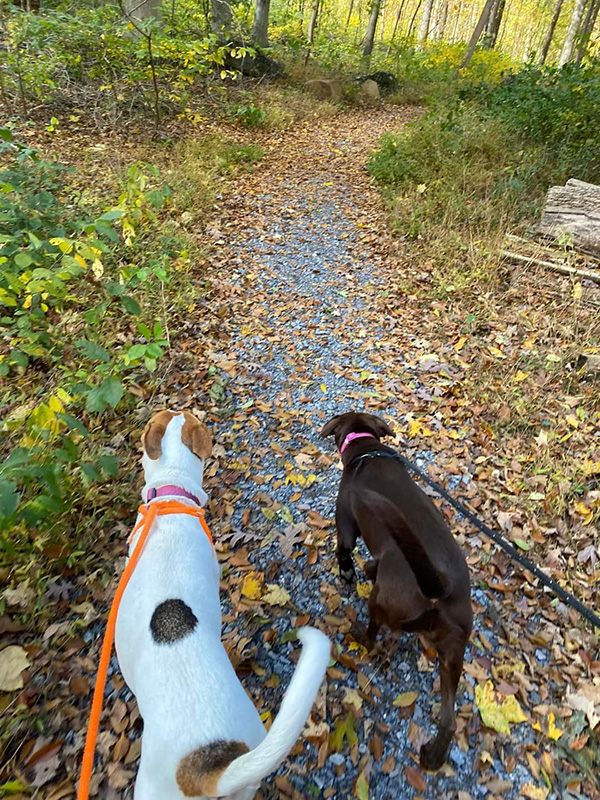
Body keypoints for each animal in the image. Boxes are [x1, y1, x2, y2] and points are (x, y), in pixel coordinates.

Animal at [322, 412, 472, 768]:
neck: (367, 450)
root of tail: (440, 590)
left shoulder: (346, 525)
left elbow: (344, 552)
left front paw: (348, 573)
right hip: (452, 657)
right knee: (449, 719)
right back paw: (432, 756)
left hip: (380, 599)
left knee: (376, 633)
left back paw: (359, 633)